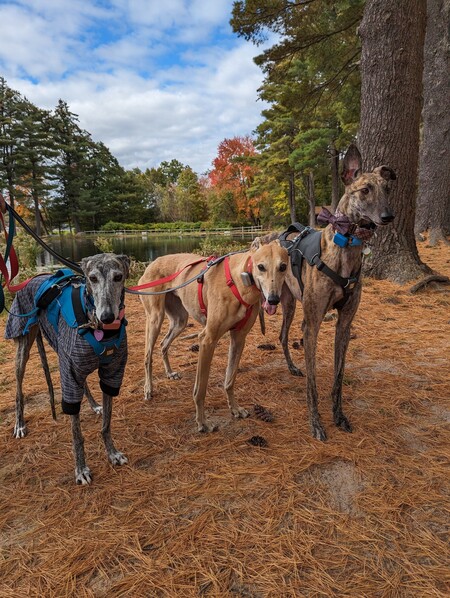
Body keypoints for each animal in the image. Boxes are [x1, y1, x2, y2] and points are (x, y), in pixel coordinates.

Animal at [5, 253, 129, 488]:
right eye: (92, 278)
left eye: (118, 277)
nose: (107, 317)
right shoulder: (69, 371)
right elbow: (76, 434)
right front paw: (81, 469)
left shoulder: (112, 374)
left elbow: (106, 424)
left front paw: (112, 453)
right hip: (23, 348)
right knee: (18, 390)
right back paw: (19, 424)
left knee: (83, 383)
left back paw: (93, 404)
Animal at [137, 237, 290, 434]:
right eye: (261, 266)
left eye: (283, 266)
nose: (272, 300)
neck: (239, 282)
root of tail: (152, 262)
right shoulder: (207, 339)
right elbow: (200, 389)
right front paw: (202, 422)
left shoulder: (238, 339)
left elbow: (230, 379)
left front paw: (235, 409)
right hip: (155, 318)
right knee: (148, 356)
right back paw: (148, 389)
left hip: (180, 321)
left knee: (164, 344)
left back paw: (170, 373)